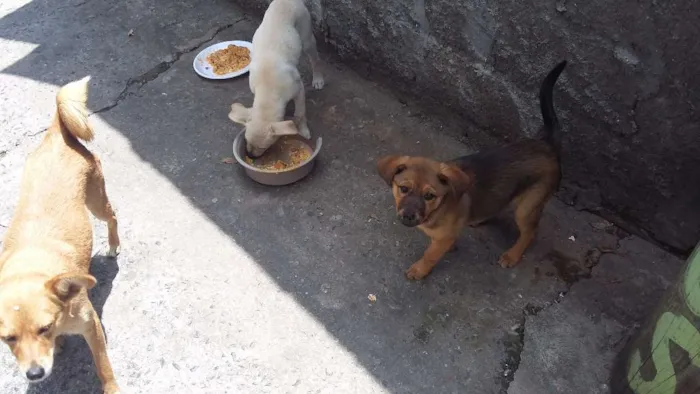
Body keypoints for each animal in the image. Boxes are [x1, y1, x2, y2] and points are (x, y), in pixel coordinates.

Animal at [0, 77, 120, 394]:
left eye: (44, 328)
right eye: (8, 338)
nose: (34, 374)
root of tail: (57, 132)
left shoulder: (92, 328)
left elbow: (104, 367)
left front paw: (112, 388)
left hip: (96, 202)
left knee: (113, 217)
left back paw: (113, 245)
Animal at [231, 0, 326, 159]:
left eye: (264, 147)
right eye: (246, 140)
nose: (251, 156)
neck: (268, 88)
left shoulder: (299, 91)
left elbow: (300, 113)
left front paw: (303, 130)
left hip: (306, 36)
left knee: (315, 59)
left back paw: (318, 78)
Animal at [380, 60, 568, 278]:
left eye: (429, 196)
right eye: (403, 189)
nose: (409, 216)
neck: (439, 207)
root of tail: (547, 145)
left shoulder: (441, 239)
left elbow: (430, 255)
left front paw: (419, 270)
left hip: (528, 206)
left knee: (530, 232)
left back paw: (512, 255)